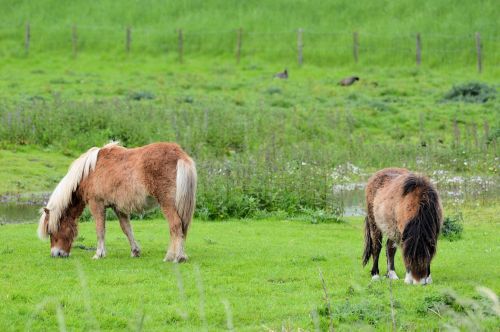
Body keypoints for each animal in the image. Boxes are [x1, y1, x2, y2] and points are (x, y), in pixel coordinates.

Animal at [37, 141, 196, 264]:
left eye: (51, 231)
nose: (56, 254)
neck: (89, 171)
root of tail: (180, 155)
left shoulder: (97, 204)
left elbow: (100, 229)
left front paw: (99, 254)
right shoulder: (118, 207)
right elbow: (127, 229)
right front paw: (135, 251)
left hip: (167, 203)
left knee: (175, 225)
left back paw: (174, 257)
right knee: (182, 227)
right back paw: (180, 255)